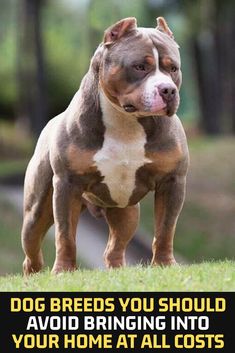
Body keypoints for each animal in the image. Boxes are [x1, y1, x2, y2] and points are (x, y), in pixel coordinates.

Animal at [20, 17, 189, 276]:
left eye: (173, 69)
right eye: (140, 67)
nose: (168, 89)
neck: (126, 121)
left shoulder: (172, 182)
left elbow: (165, 229)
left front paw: (164, 264)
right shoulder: (67, 184)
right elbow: (65, 234)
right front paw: (64, 270)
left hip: (127, 212)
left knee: (114, 248)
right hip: (36, 211)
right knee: (32, 249)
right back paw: (34, 275)